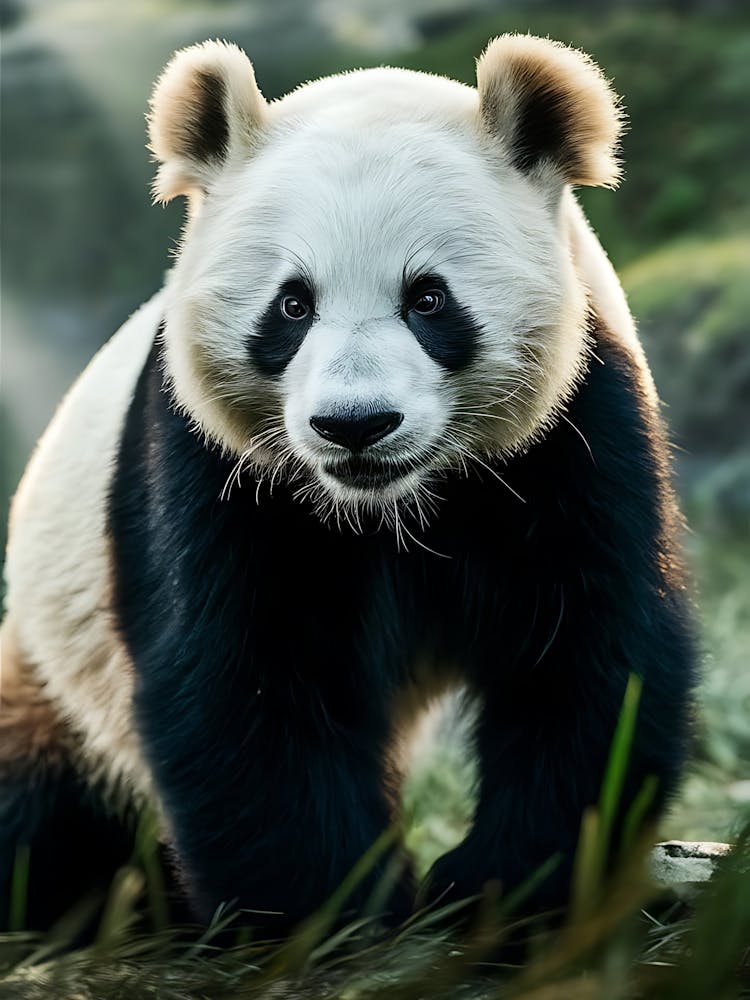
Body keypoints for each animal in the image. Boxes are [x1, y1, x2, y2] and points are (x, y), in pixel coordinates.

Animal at [1, 35, 696, 933]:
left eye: (428, 299)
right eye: (292, 305)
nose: (355, 424)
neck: (391, 508)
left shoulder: (574, 432)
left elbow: (589, 653)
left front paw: (495, 890)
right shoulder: (215, 464)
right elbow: (243, 685)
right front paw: (332, 916)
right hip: (52, 667)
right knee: (40, 804)